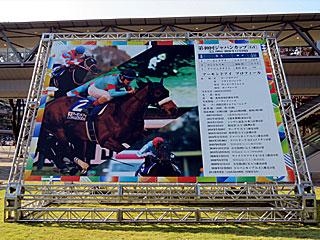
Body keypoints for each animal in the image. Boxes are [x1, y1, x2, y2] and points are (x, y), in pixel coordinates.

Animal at [39, 79, 178, 172]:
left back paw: (68, 167)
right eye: (158, 92)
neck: (123, 113)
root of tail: (48, 105)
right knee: (63, 148)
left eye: (167, 91)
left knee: (56, 148)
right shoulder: (106, 141)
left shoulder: (136, 136)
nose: (173, 109)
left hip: (76, 136)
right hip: (59, 131)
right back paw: (77, 166)